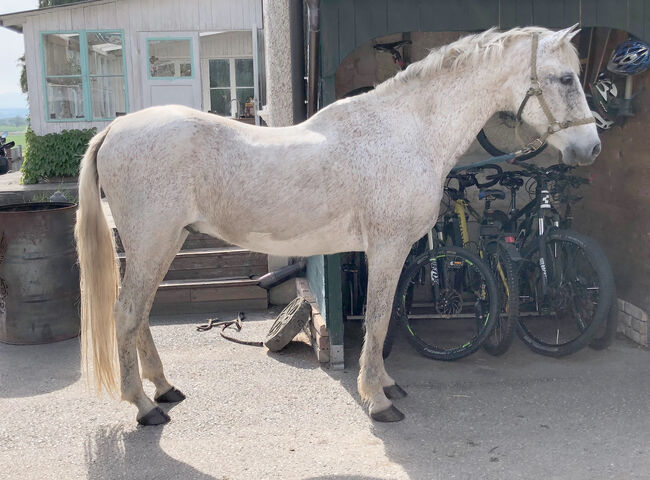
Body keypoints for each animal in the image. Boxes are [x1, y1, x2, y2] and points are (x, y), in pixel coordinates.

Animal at [74, 24, 596, 426]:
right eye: (565, 78)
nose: (590, 147)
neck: (407, 131)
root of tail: (114, 130)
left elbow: (382, 318)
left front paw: (385, 384)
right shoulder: (387, 248)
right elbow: (378, 318)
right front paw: (378, 401)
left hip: (164, 243)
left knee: (140, 314)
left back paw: (163, 388)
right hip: (152, 242)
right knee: (126, 314)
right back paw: (144, 407)